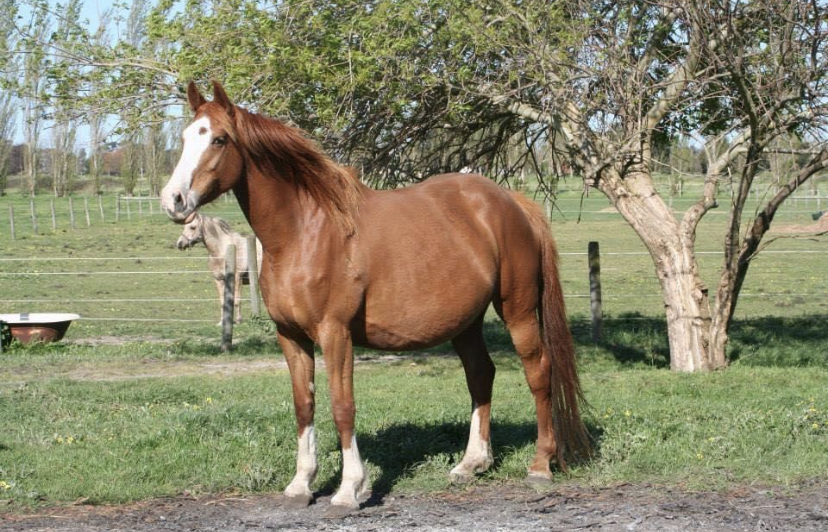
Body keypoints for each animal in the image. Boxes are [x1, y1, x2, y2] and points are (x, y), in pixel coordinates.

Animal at [160, 81, 590, 511]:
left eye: (219, 139)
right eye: (185, 137)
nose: (173, 200)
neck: (304, 232)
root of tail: (511, 201)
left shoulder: (335, 333)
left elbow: (342, 405)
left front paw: (350, 488)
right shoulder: (291, 336)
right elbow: (304, 405)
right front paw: (301, 483)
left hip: (518, 311)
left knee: (538, 372)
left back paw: (540, 465)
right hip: (465, 322)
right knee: (481, 375)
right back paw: (472, 463)